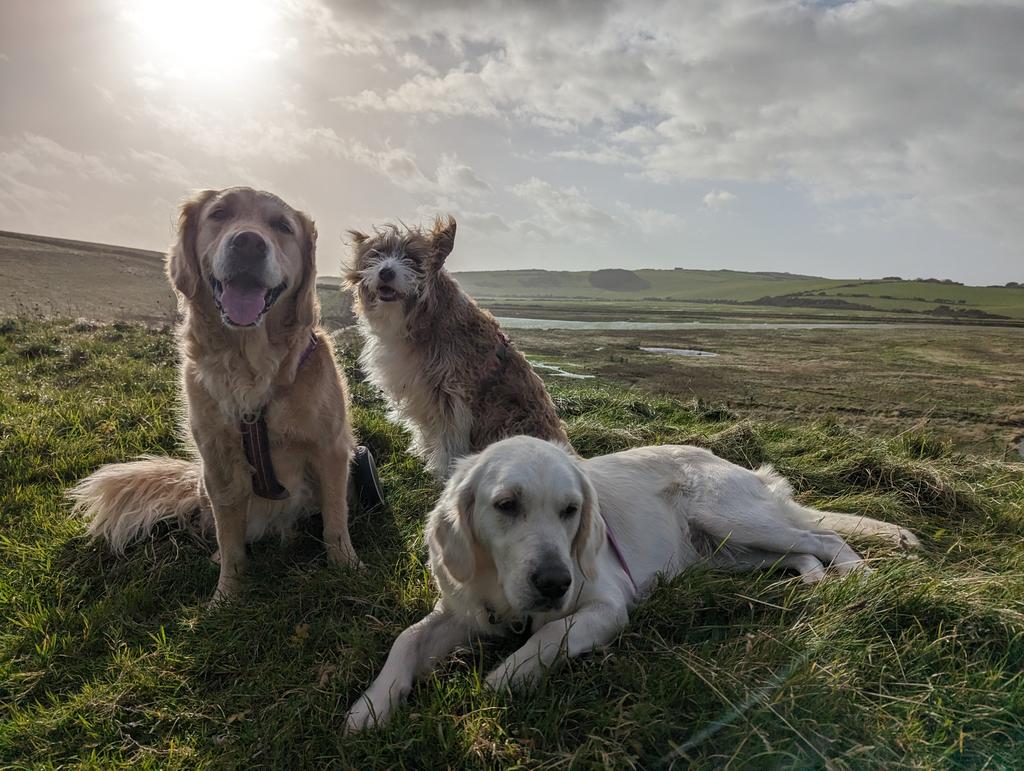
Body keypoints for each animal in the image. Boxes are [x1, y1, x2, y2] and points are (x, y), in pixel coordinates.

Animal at [70, 186, 358, 602]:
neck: (253, 367)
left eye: (282, 226)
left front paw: (347, 568)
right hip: (205, 484)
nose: (249, 243)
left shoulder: (331, 449)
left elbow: (335, 518)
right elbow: (230, 540)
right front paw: (227, 596)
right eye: (219, 214)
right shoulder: (219, 466)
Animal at [344, 217, 569, 479]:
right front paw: (424, 454)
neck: (426, 320)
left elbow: (448, 436)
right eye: (377, 254)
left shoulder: (450, 394)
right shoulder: (421, 392)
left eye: (413, 258)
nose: (386, 272)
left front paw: (445, 471)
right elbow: (426, 430)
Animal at [346, 434, 921, 729]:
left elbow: (550, 634)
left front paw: (506, 677)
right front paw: (371, 706)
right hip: (725, 554)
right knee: (802, 551)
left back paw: (858, 578)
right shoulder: (464, 610)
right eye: (506, 505)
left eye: (571, 510)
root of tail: (741, 467)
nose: (555, 582)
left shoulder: (607, 604)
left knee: (824, 537)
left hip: (731, 518)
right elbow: (406, 639)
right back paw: (815, 582)